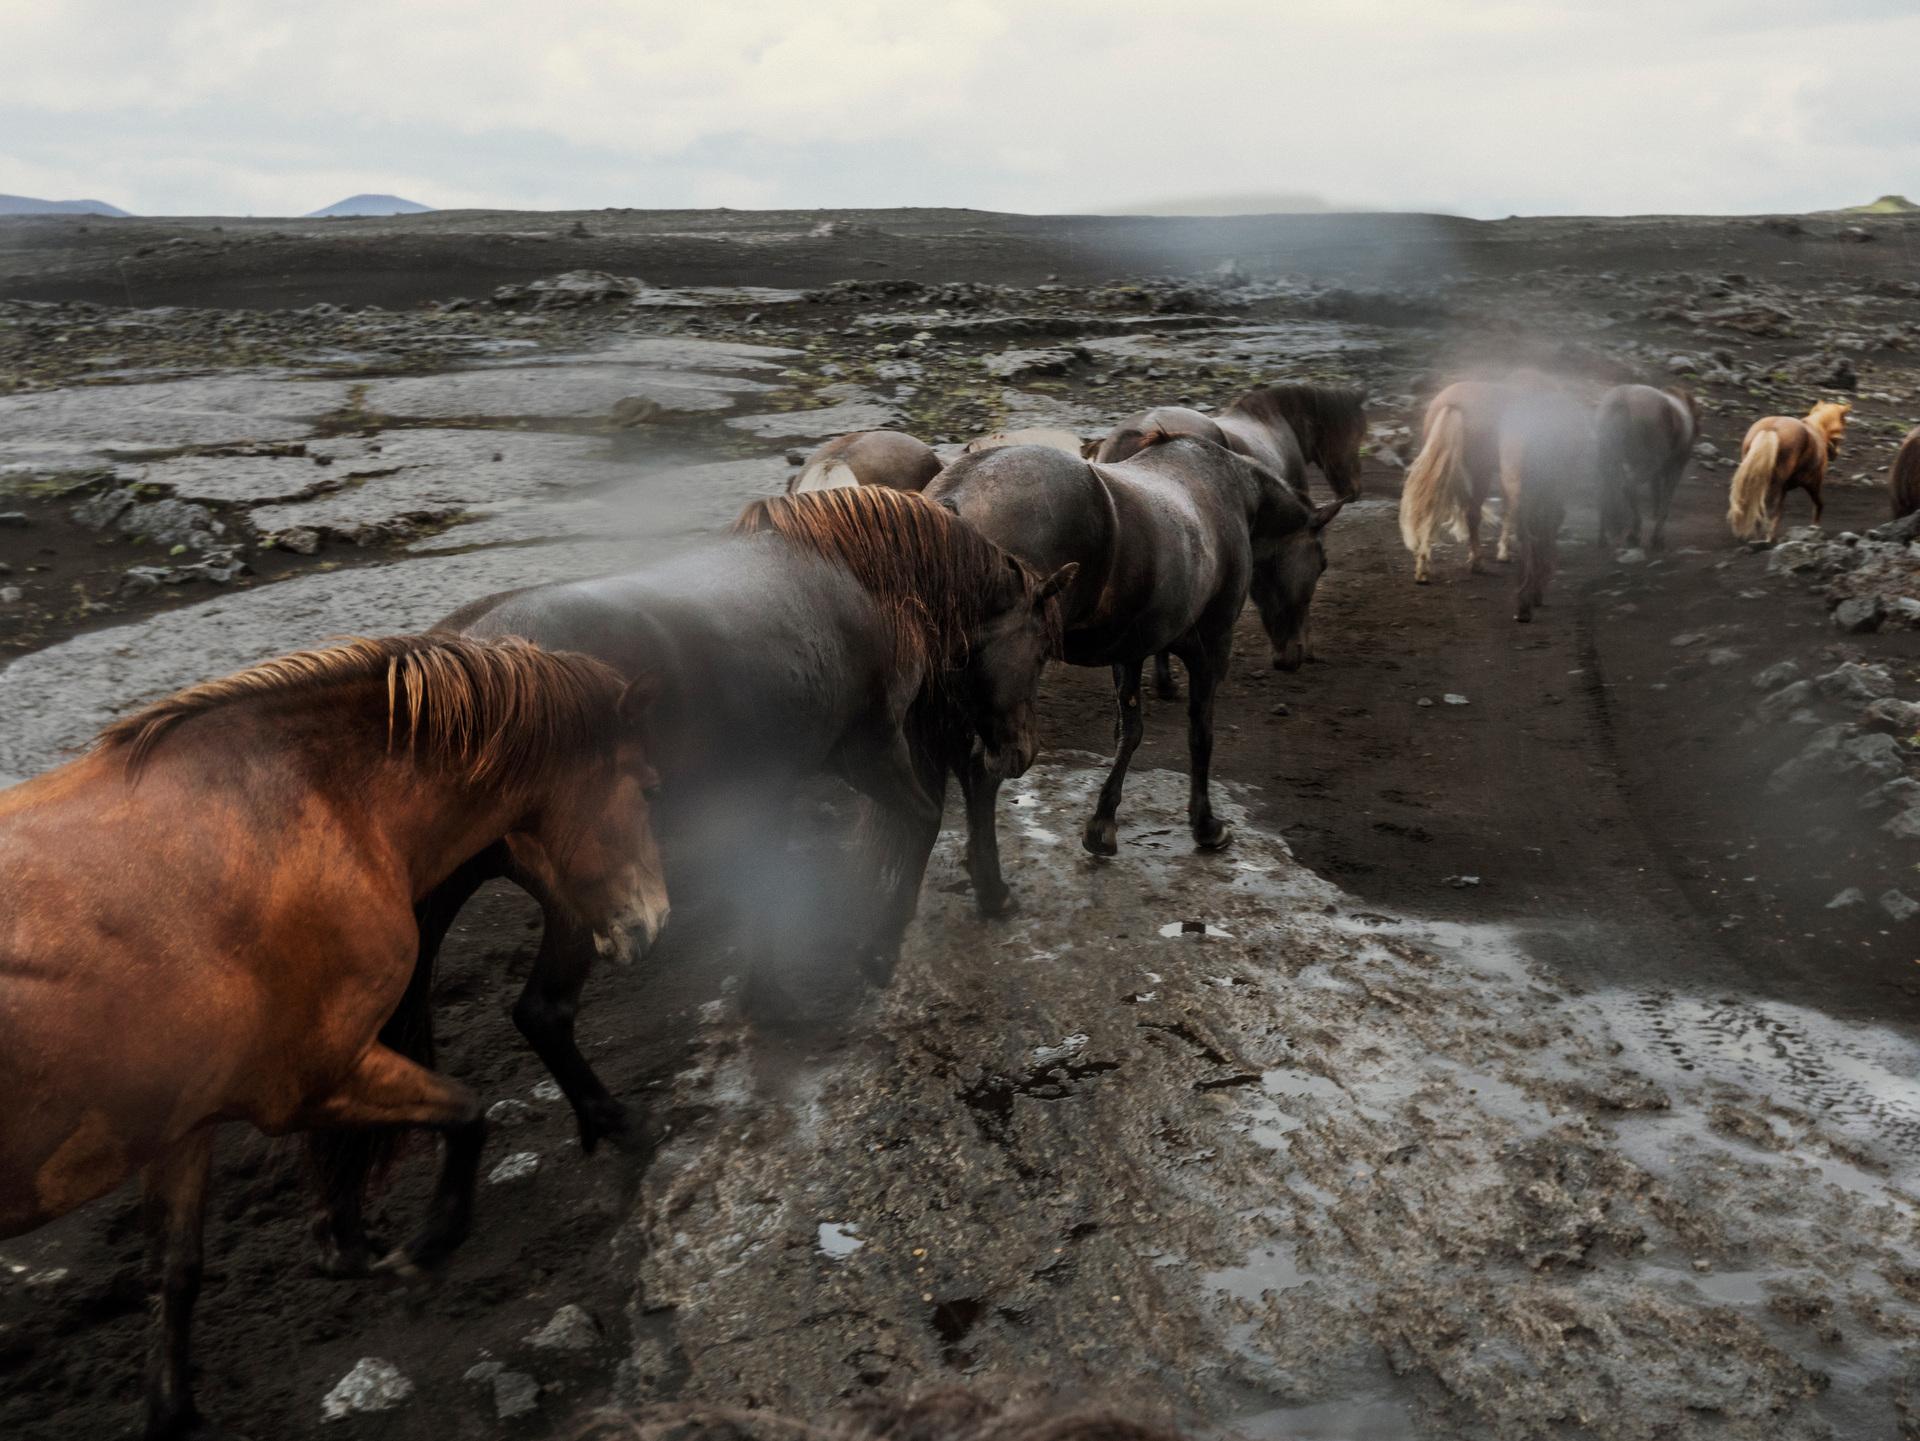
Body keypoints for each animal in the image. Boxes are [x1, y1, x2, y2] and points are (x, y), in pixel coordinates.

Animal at [307, 487, 1075, 1274]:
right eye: (1041, 646)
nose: (1022, 753)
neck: (849, 576)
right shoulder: (869, 751)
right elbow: (918, 823)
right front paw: (877, 952)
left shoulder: (770, 793)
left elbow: (768, 893)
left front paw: (772, 999)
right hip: (575, 896)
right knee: (542, 1012)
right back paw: (618, 1128)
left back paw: (361, 1231)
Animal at [921, 439, 1344, 913]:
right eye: (1321, 562)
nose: (1297, 653)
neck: (1230, 492)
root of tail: (956, 497)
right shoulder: (1210, 650)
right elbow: (1200, 735)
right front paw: (1205, 825)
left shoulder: (1130, 652)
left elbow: (1130, 732)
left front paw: (1102, 825)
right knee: (981, 771)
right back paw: (993, 892)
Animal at [1589, 383, 1697, 552]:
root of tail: (1621, 401)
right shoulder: (1675, 468)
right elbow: (1665, 501)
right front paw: (1657, 539)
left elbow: (1657, 493)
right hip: (1647, 463)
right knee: (1628, 487)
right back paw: (1634, 533)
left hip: (1607, 459)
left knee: (1604, 491)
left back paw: (1603, 539)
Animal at [1728, 402, 1843, 544]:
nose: (1835, 454)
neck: (1816, 430)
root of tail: (1771, 429)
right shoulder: (1812, 484)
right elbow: (1818, 505)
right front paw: (1814, 529)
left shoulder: (1785, 489)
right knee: (1770, 508)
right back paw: (1767, 539)